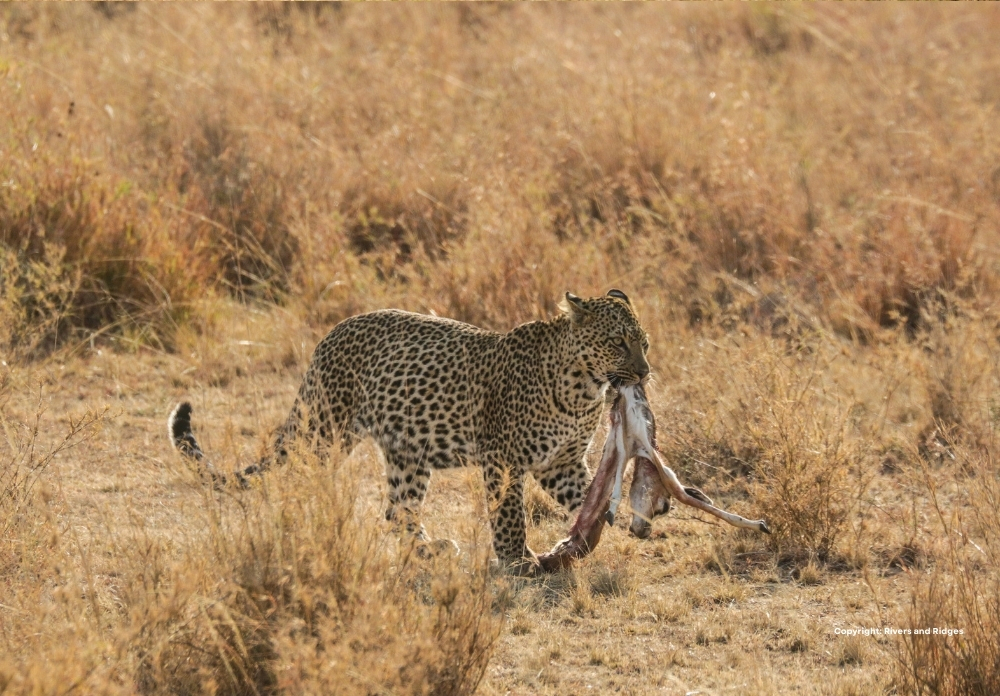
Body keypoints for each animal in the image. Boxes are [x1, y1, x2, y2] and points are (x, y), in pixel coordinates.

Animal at [168, 289, 653, 575]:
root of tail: (328, 338)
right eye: (618, 342)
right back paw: (306, 528)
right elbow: (508, 513)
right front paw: (518, 559)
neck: (582, 387)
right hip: (325, 430)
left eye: (643, 342)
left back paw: (428, 550)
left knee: (397, 510)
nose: (646, 372)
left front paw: (612, 523)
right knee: (304, 480)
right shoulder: (503, 459)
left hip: (408, 450)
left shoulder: (562, 463)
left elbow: (588, 494)